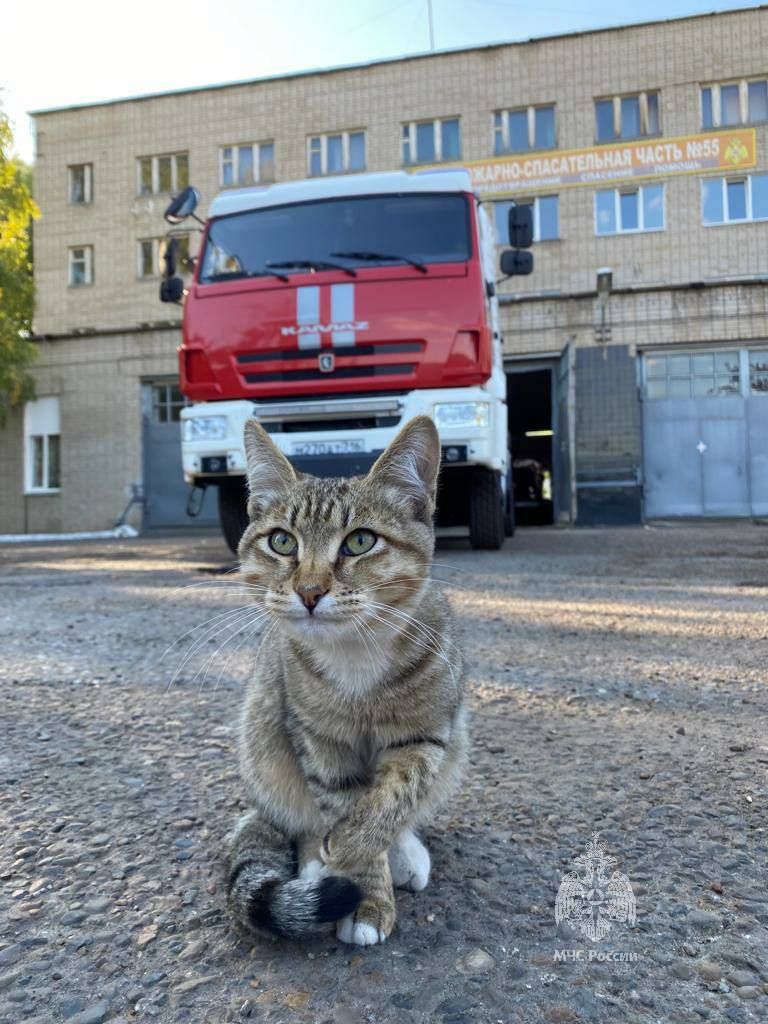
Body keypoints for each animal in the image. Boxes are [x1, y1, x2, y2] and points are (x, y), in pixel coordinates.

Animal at [227, 413, 468, 942]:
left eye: (360, 541)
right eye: (282, 541)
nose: (310, 591)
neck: (356, 657)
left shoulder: (427, 736)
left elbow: (392, 798)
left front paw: (358, 843)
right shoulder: (317, 741)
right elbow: (337, 800)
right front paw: (364, 890)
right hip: (264, 741)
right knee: (300, 821)